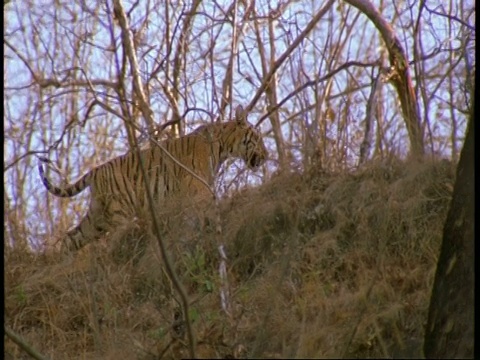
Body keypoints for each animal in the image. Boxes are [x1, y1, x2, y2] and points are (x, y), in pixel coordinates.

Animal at [39, 108, 268, 252]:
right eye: (257, 138)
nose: (266, 155)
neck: (224, 146)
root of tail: (95, 171)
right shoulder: (197, 187)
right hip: (118, 212)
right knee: (114, 239)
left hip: (97, 217)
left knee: (70, 239)